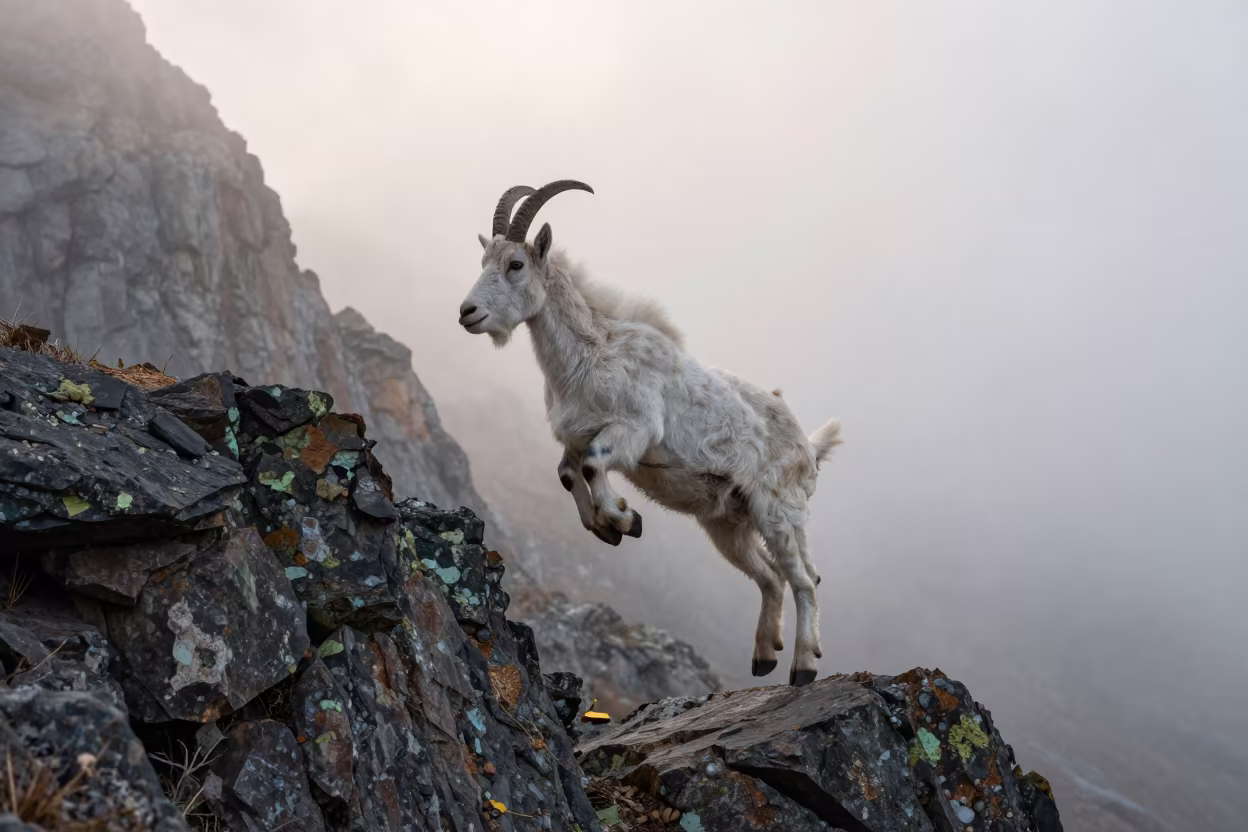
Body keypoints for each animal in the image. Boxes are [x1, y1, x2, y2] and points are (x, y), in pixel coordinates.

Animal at [458, 181, 843, 685]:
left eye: (515, 264)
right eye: (484, 261)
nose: (467, 312)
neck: (591, 356)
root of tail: (808, 448)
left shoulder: (635, 430)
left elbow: (592, 464)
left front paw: (623, 519)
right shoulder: (576, 435)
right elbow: (567, 471)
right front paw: (608, 526)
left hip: (779, 510)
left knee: (803, 578)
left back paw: (803, 666)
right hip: (727, 522)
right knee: (770, 576)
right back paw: (763, 657)